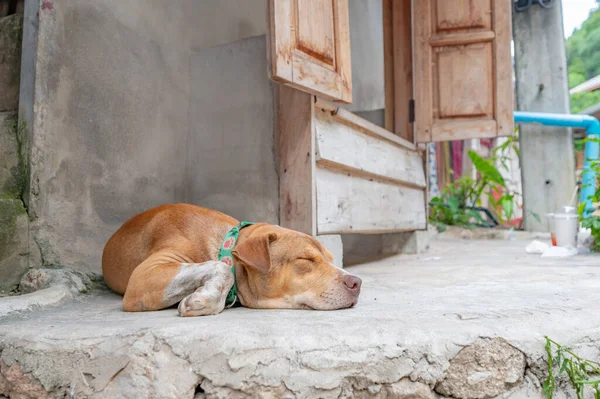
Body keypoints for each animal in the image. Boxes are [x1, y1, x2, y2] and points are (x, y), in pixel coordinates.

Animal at [102, 205, 360, 318]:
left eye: (331, 259)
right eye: (306, 259)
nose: (357, 282)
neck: (225, 242)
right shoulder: (143, 276)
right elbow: (221, 269)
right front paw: (204, 299)